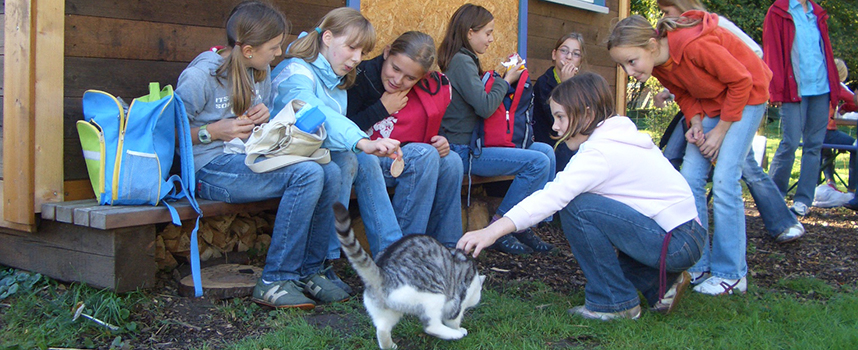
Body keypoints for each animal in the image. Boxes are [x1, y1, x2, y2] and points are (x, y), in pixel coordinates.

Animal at [332, 202, 484, 350]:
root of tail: (385, 274)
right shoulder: (458, 299)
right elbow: (453, 318)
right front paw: (459, 329)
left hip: (385, 310)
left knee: (382, 329)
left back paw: (388, 345)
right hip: (433, 295)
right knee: (431, 326)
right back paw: (453, 334)